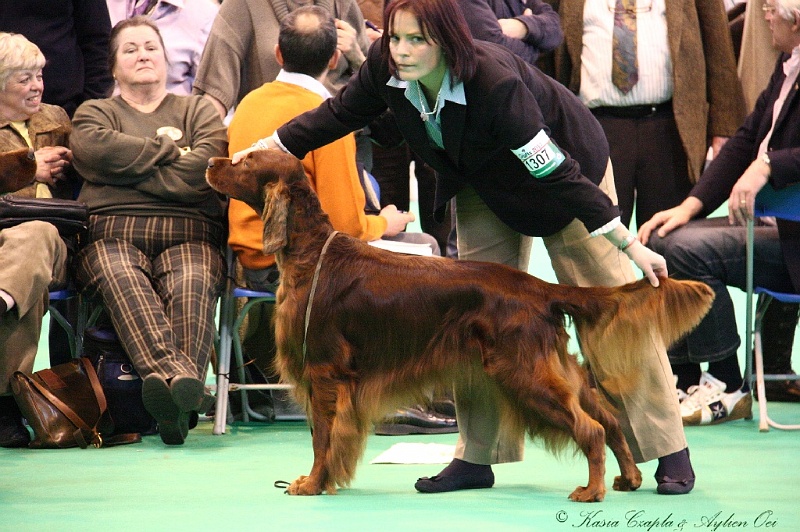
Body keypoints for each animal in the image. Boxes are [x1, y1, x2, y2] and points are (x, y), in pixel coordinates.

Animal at [205, 151, 712, 502]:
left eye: (245, 160)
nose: (210, 161)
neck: (311, 253)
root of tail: (538, 287)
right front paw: (323, 482)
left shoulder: (325, 372)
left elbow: (323, 439)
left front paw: (312, 484)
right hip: (550, 368)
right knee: (607, 418)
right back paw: (628, 477)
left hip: (523, 372)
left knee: (590, 428)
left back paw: (592, 490)